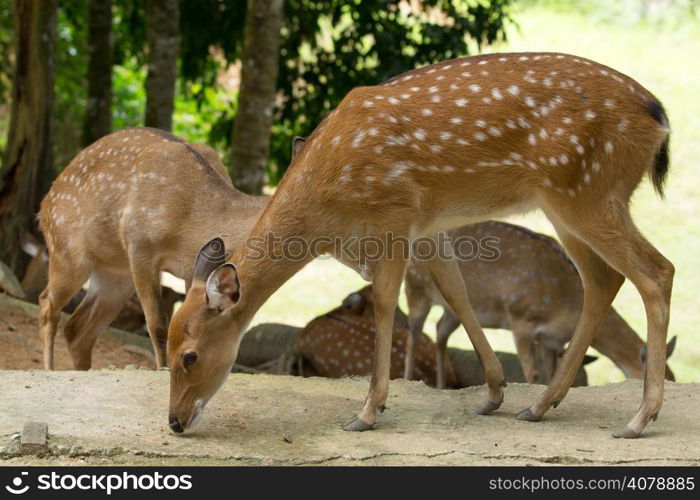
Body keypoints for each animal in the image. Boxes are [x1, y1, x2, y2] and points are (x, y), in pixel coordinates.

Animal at [37, 128, 270, 372]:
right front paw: (163, 369)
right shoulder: (140, 245)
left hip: (116, 273)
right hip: (66, 251)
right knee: (47, 302)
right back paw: (49, 368)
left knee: (77, 329)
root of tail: (42, 208)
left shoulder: (192, 268)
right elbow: (157, 324)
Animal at [404, 221, 680, 388]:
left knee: (440, 330)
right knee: (414, 334)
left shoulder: (551, 340)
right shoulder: (521, 320)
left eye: (673, 376)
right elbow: (532, 373)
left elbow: (550, 373)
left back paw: (442, 386)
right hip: (416, 288)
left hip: (452, 309)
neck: (566, 304)